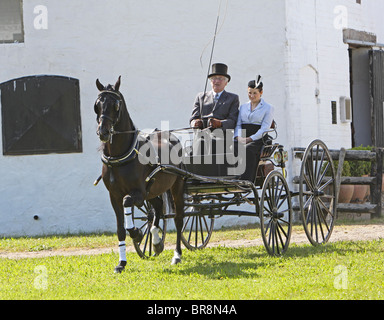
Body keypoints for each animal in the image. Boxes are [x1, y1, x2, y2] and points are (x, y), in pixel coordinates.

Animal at [94, 75, 185, 272]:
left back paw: (177, 255)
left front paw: (136, 232)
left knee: (179, 219)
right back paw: (156, 241)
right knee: (156, 209)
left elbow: (127, 202)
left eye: (116, 105)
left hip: (177, 186)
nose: (103, 132)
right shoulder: (114, 196)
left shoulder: (138, 192)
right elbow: (120, 229)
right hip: (153, 191)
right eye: (97, 105)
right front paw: (121, 263)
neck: (120, 155)